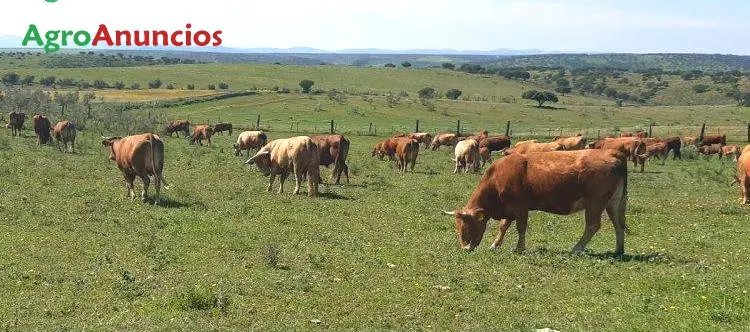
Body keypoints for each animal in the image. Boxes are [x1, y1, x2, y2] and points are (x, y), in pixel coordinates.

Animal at [444, 148, 632, 254]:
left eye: (467, 227)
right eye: (458, 228)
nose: (465, 249)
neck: (496, 179)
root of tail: (612, 152)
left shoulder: (520, 208)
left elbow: (521, 228)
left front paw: (519, 248)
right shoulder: (509, 209)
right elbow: (503, 226)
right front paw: (495, 245)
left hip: (595, 202)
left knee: (593, 226)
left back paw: (577, 248)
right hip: (613, 203)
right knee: (618, 225)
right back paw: (618, 250)